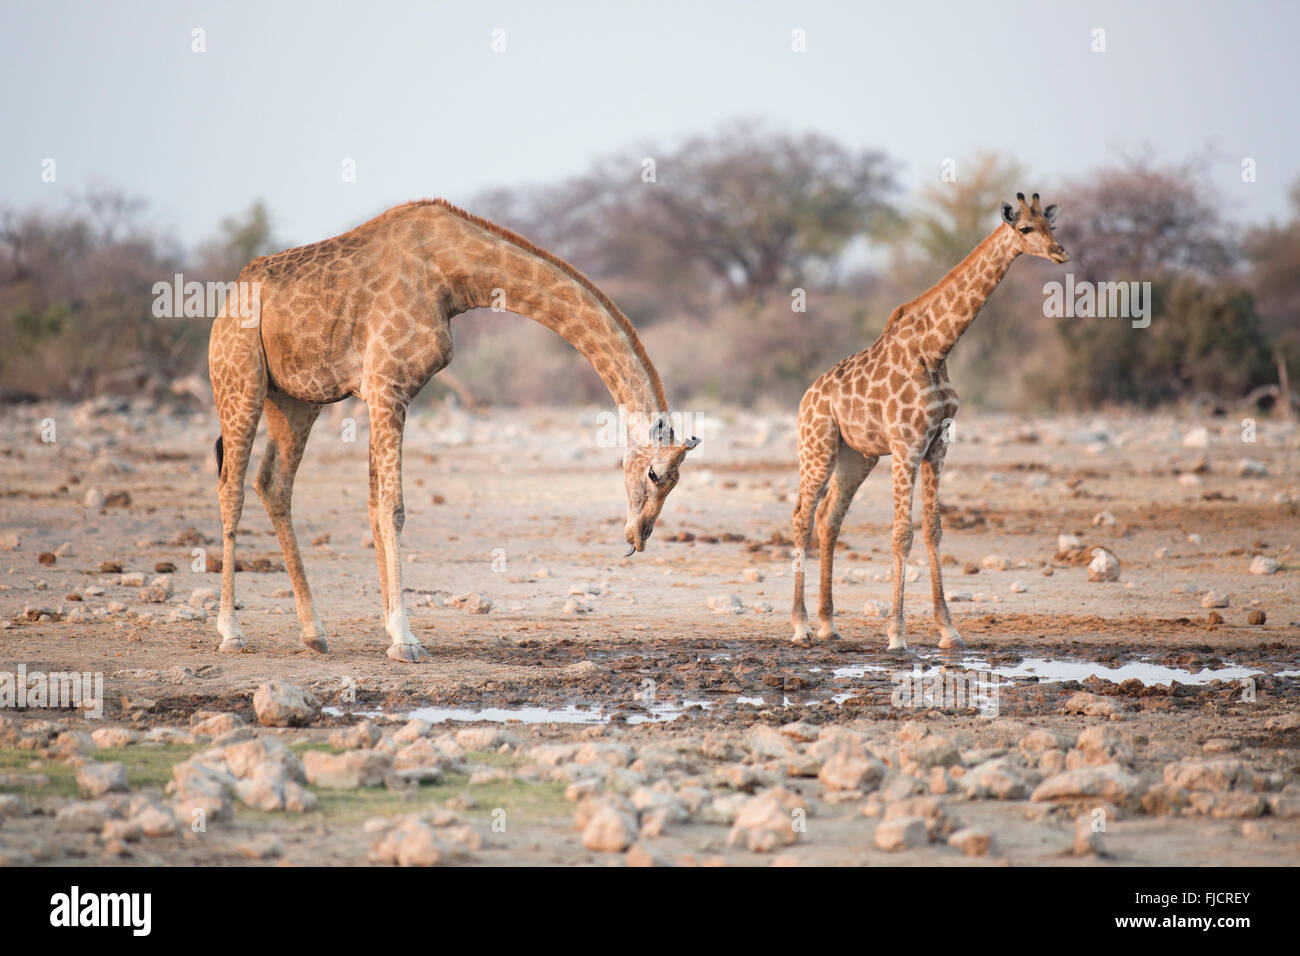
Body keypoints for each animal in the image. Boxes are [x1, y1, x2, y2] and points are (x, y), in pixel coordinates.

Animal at [208, 199, 699, 663]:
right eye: (654, 474)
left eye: (675, 482)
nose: (639, 535)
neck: (455, 271)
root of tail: (227, 303)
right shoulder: (387, 388)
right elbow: (393, 508)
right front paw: (405, 640)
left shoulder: (379, 394)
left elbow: (374, 505)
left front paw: (391, 629)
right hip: (241, 380)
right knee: (231, 487)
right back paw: (231, 633)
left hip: (296, 398)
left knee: (273, 484)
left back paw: (314, 633)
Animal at [790, 192, 1067, 651]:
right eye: (1026, 229)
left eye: (1052, 225)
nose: (1061, 253)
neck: (935, 350)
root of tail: (806, 397)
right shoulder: (907, 445)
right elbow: (902, 534)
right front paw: (897, 633)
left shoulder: (937, 445)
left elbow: (933, 529)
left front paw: (948, 630)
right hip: (818, 447)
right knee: (802, 516)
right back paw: (800, 626)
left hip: (857, 457)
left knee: (830, 519)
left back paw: (828, 623)